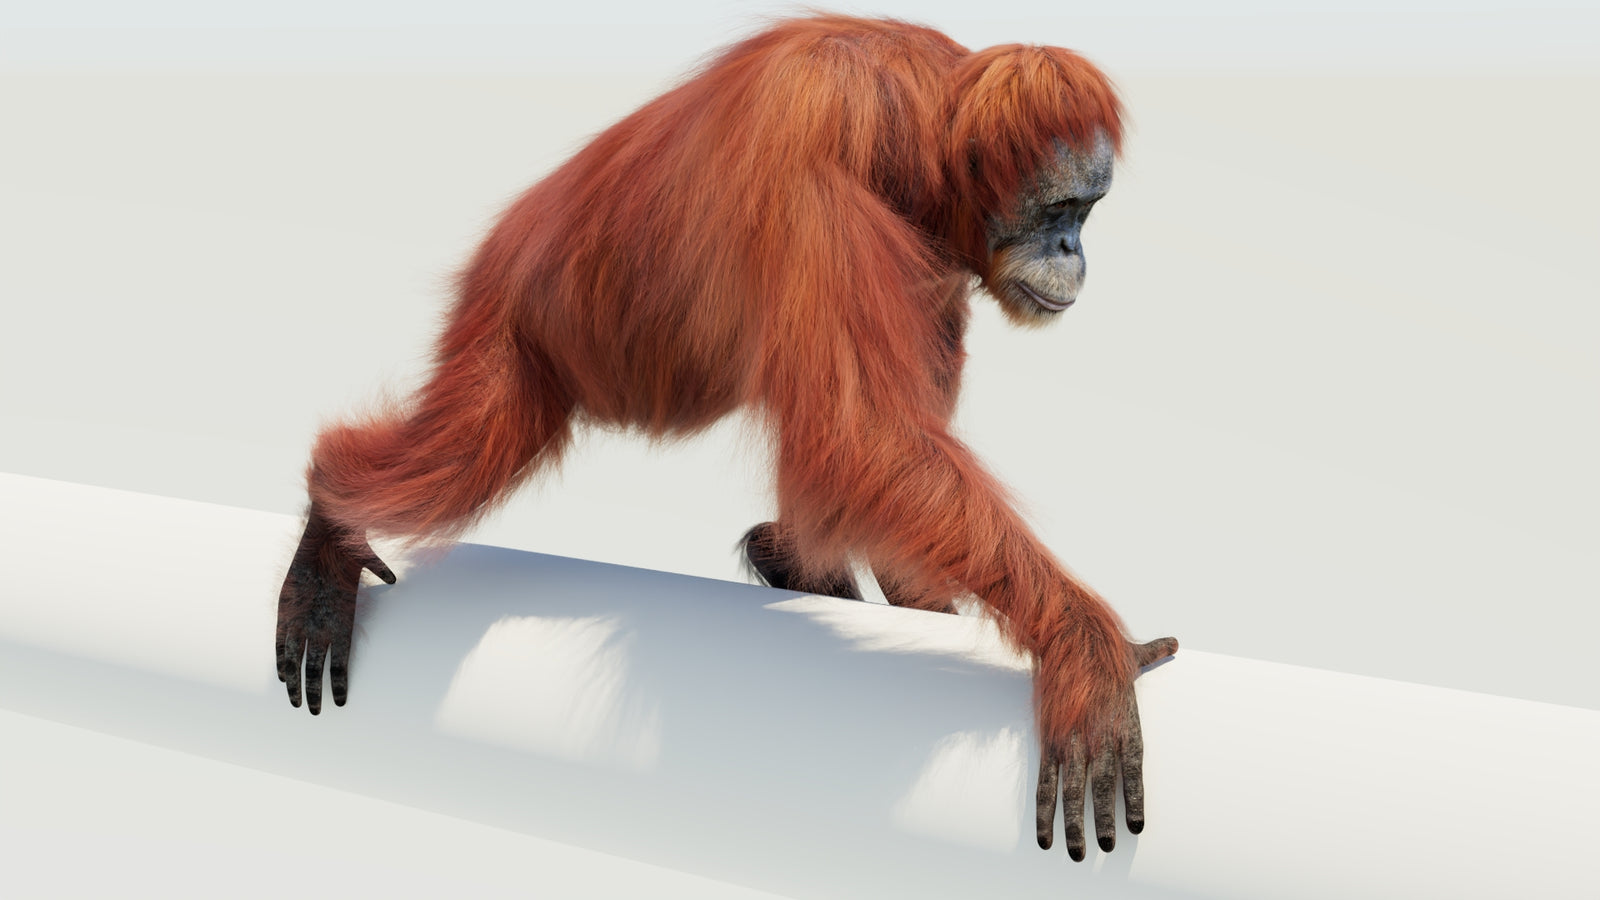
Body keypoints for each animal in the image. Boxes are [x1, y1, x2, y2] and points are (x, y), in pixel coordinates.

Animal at [276, 14, 1177, 863]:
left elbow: (876, 442)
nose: (1073, 249)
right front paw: (1084, 649)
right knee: (464, 453)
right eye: (1061, 209)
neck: (918, 120)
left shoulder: (934, 257)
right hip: (516, 321)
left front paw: (928, 603)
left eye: (1086, 212)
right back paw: (332, 521)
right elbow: (861, 435)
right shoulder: (816, 147)